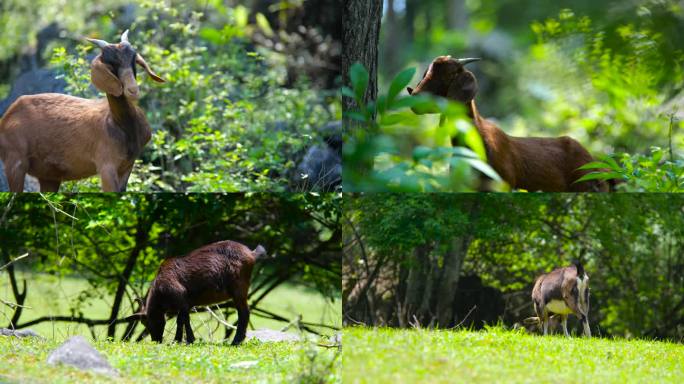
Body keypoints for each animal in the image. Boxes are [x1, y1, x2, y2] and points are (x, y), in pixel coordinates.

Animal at [0, 29, 164, 192]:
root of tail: (7, 116)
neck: (119, 124)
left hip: (48, 175)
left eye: (134, 59)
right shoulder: (106, 166)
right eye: (110, 63)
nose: (133, 90)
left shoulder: (127, 166)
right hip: (15, 162)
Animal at [128, 240, 268, 344]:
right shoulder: (186, 303)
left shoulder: (181, 298)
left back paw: (236, 342)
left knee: (244, 312)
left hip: (239, 289)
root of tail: (251, 253)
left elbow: (183, 319)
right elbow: (182, 319)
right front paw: (180, 340)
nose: (155, 340)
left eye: (146, 322)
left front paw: (186, 340)